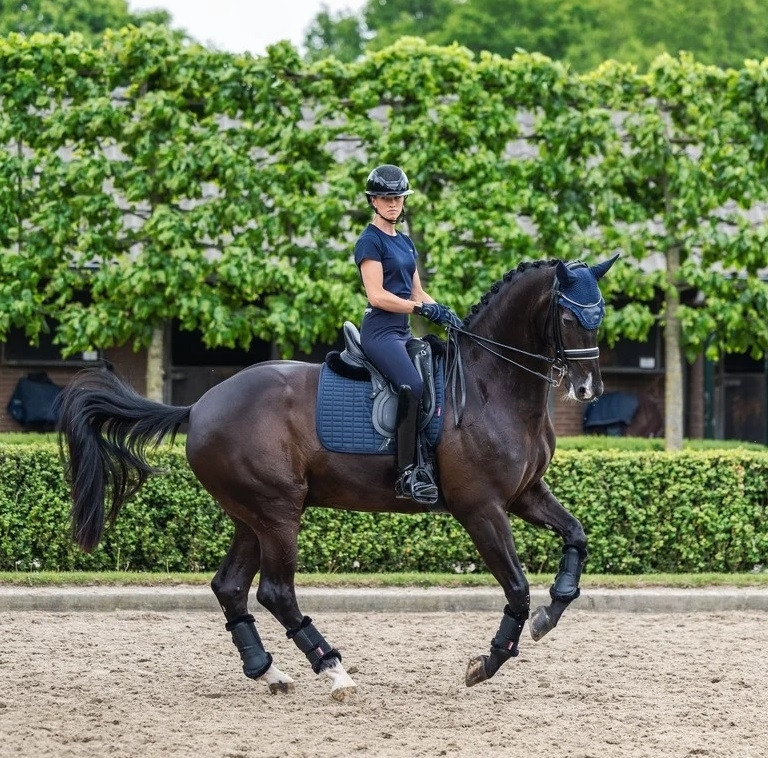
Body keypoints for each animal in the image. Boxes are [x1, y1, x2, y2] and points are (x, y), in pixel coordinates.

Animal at [55, 254, 616, 700]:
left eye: (602, 313)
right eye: (569, 315)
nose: (587, 389)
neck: (487, 384)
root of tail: (199, 407)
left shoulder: (524, 494)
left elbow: (576, 537)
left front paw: (550, 614)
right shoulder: (481, 508)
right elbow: (517, 587)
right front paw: (488, 661)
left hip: (252, 516)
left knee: (230, 586)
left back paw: (269, 672)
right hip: (277, 512)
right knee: (275, 592)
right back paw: (333, 670)